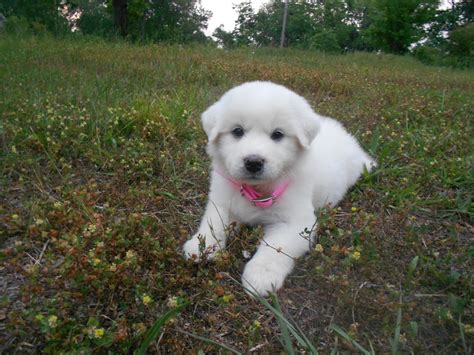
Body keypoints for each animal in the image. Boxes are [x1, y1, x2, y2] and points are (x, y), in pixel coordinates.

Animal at [183, 82, 376, 296]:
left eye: (277, 135)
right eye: (237, 131)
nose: (253, 162)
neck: (257, 190)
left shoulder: (297, 224)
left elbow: (275, 249)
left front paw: (260, 277)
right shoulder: (222, 202)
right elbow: (213, 223)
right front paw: (201, 246)